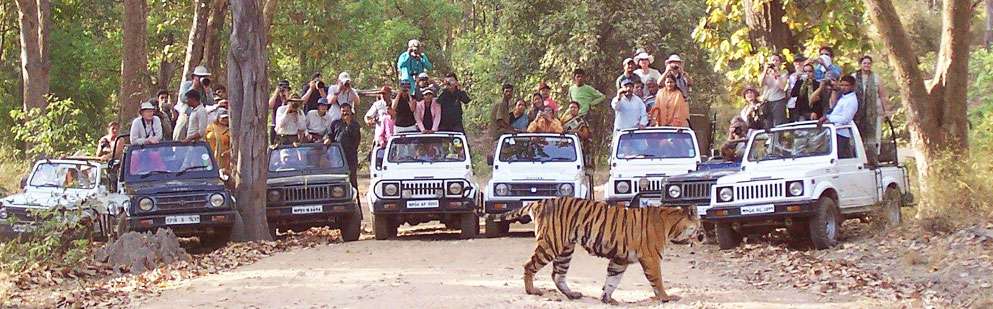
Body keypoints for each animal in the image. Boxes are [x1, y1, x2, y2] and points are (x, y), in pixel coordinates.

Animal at [500, 196, 700, 302]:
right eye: (699, 227)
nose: (702, 236)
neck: (671, 224)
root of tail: (539, 202)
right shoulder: (651, 258)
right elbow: (657, 280)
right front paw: (666, 297)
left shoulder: (620, 259)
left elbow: (612, 279)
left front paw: (607, 298)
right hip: (551, 244)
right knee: (529, 266)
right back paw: (531, 291)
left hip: (565, 249)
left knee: (557, 275)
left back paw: (572, 294)